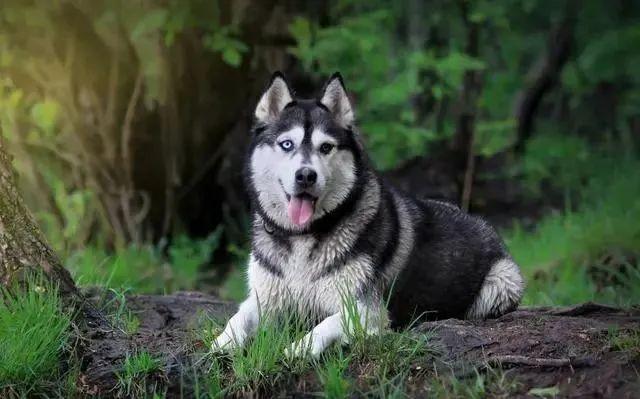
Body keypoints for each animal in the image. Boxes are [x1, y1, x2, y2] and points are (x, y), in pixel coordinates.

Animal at [212, 72, 524, 360]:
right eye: (287, 144)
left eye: (326, 147)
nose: (306, 176)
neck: (303, 236)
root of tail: (483, 223)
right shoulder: (265, 298)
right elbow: (239, 317)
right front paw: (221, 342)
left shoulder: (366, 309)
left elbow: (326, 325)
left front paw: (298, 349)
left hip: (502, 282)